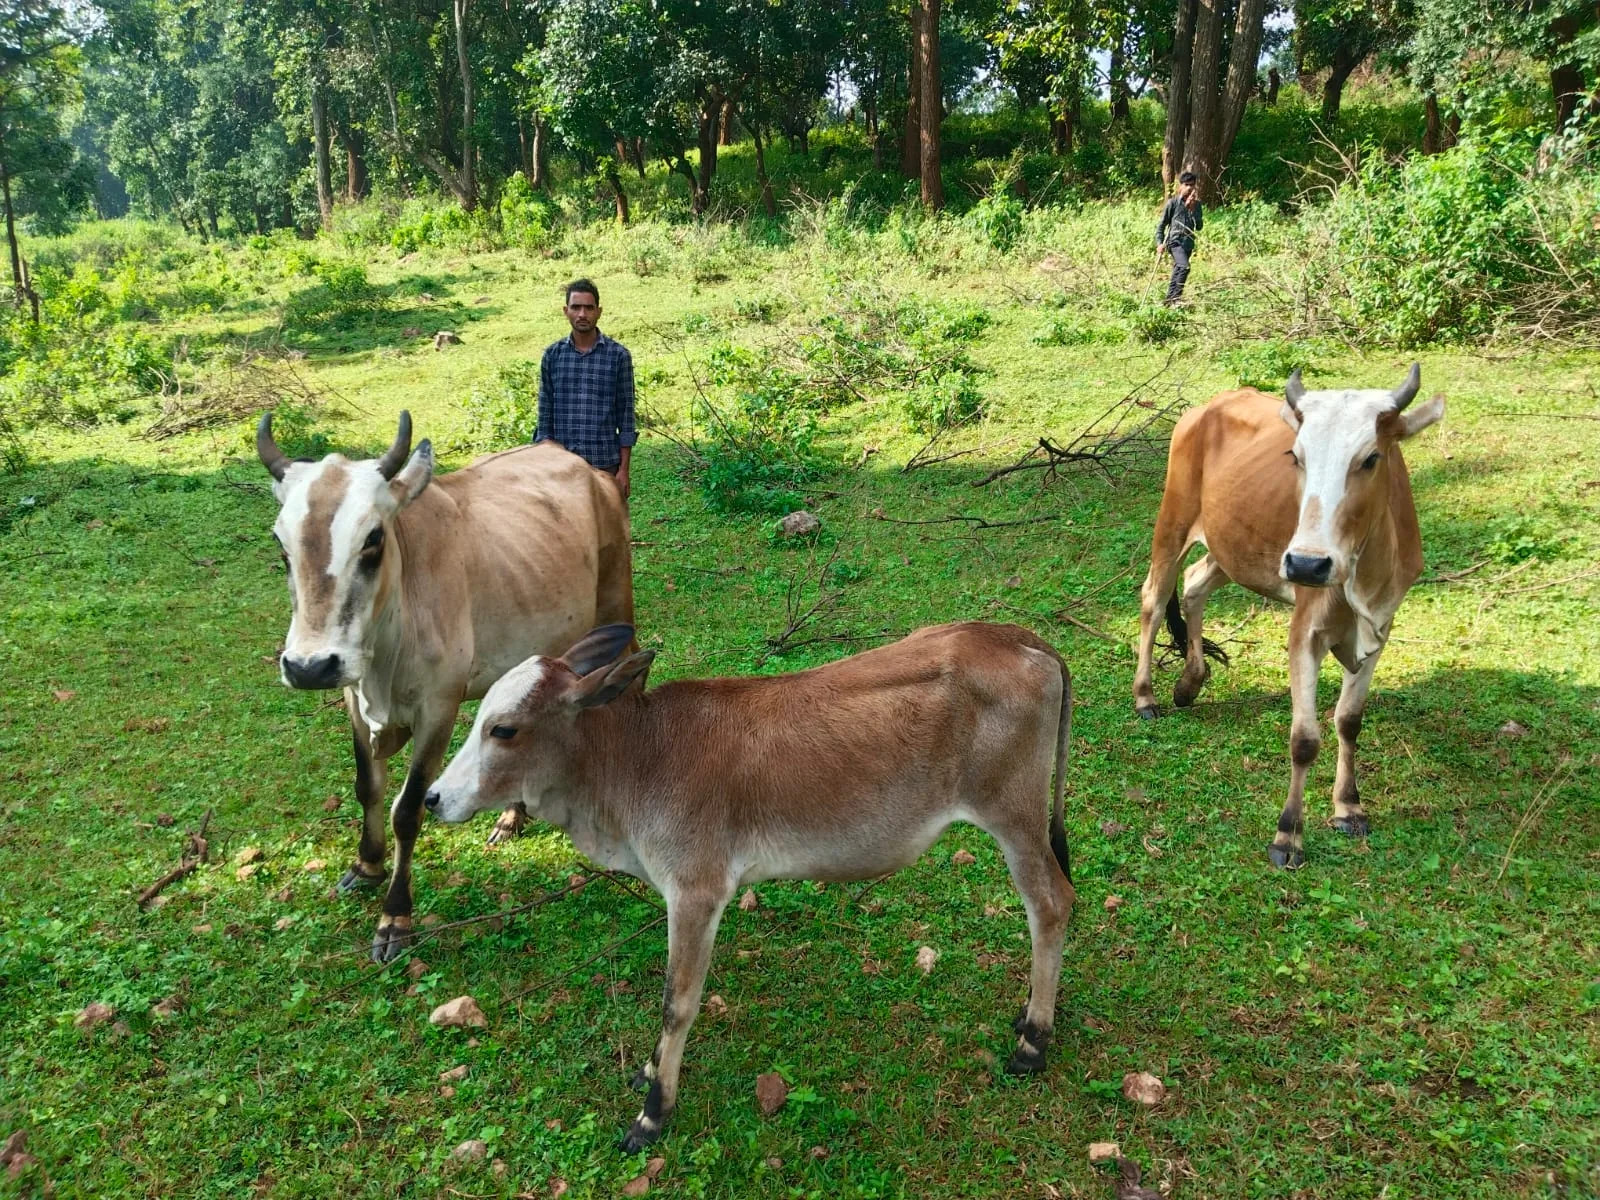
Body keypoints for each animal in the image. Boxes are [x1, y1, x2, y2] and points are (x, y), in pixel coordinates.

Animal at [256, 411, 635, 962]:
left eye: (373, 538)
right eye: (280, 543)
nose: (308, 667)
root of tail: (585, 467)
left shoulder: (438, 708)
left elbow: (408, 809)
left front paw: (395, 916)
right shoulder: (352, 696)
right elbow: (367, 787)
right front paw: (366, 866)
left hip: (617, 604)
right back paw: (510, 818)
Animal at [423, 622, 1076, 1151]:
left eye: (504, 730)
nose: (432, 797)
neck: (637, 758)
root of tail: (1019, 638)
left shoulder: (696, 890)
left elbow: (676, 1002)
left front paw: (653, 1113)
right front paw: (648, 1073)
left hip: (1014, 816)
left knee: (1052, 903)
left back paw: (1034, 1041)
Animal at [1131, 364, 1445, 868]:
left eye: (1371, 458)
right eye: (1296, 456)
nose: (1306, 564)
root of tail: (1208, 407)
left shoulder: (1380, 625)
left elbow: (1349, 720)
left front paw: (1348, 807)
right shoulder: (1305, 629)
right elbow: (1304, 739)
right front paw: (1287, 836)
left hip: (1231, 549)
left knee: (1195, 584)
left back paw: (1191, 680)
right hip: (1174, 521)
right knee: (1155, 599)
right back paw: (1145, 696)